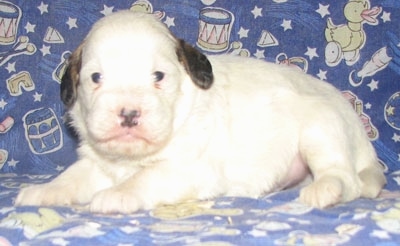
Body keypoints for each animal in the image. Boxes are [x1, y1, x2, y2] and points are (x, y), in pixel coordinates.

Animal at [14, 11, 384, 213]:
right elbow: (71, 178)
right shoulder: (97, 164)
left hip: (321, 129)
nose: (129, 114)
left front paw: (117, 194)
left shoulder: (187, 169)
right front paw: (43, 191)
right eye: (96, 78)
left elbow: (145, 177)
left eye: (158, 77)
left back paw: (326, 189)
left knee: (344, 176)